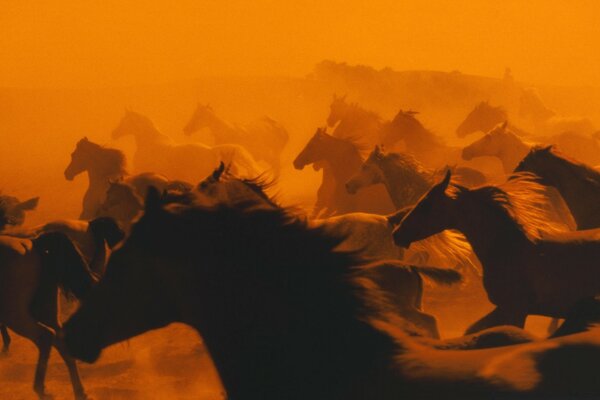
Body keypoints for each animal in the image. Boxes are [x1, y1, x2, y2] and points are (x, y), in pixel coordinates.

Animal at [0, 231, 94, 400]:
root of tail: (32, 243)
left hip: (14, 314)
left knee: (45, 336)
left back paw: (41, 390)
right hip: (46, 311)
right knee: (60, 340)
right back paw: (80, 392)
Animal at [394, 171, 600, 334]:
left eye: (425, 205)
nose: (397, 233)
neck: (507, 248)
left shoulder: (516, 309)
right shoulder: (503, 308)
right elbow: (472, 330)